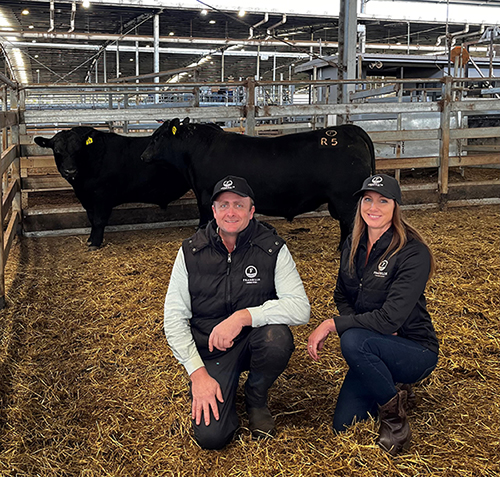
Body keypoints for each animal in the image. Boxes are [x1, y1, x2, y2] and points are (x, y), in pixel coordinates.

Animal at [33, 126, 189, 249]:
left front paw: (95, 243)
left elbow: (98, 220)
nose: (70, 171)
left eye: (78, 150)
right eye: (57, 151)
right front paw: (90, 240)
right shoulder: (88, 199)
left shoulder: (102, 196)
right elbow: (92, 219)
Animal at [141, 117, 376, 247]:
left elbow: (205, 222)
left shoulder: (206, 197)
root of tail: (348, 129)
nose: (143, 156)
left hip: (346, 200)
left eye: (158, 137)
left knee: (351, 225)